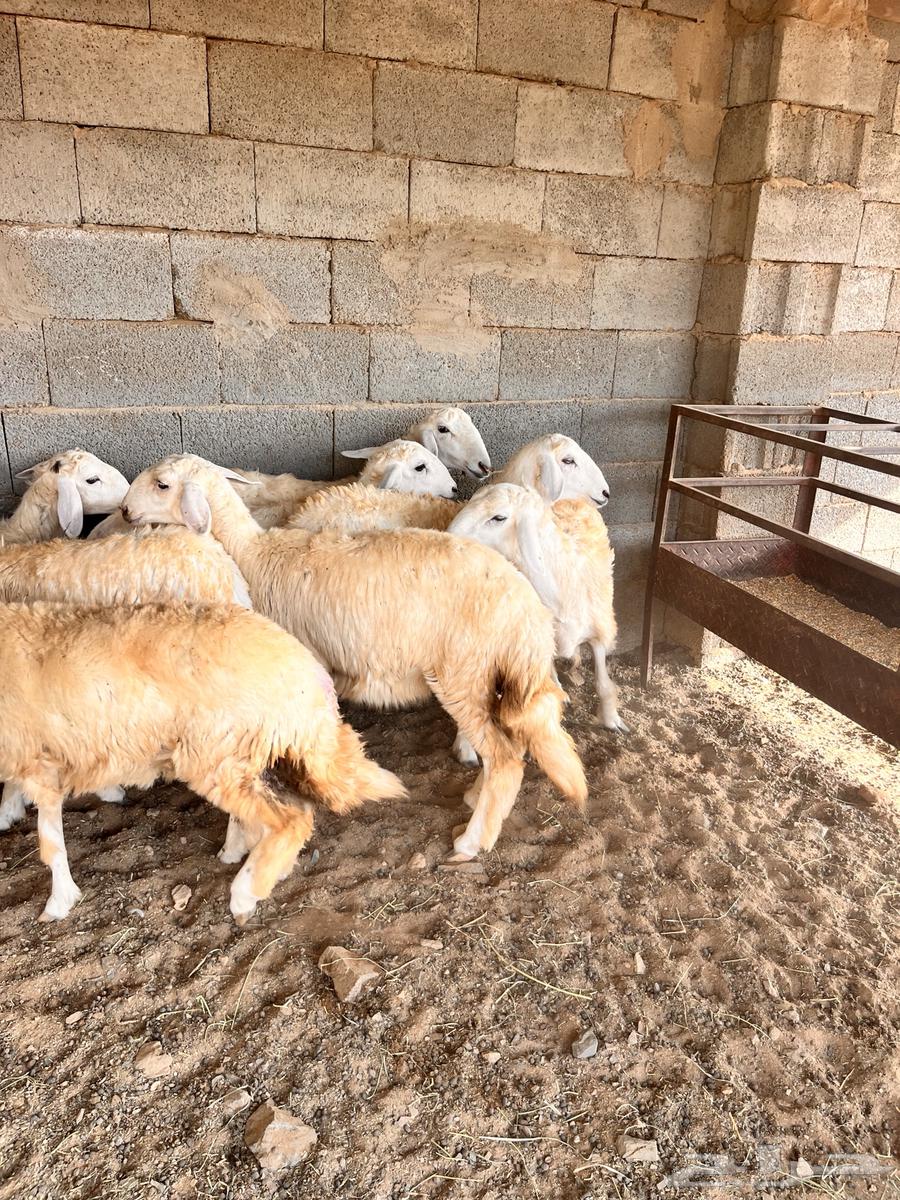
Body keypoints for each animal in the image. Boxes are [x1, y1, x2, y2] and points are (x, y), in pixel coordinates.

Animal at [0, 601, 405, 922]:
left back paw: (245, 893)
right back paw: (244, 856)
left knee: (291, 819)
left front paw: (58, 902)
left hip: (214, 751)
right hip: (236, 754)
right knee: (267, 814)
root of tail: (307, 675)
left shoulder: (37, 761)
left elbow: (50, 843)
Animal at [122, 455, 588, 862]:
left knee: (505, 758)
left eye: (162, 484)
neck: (255, 554)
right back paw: (476, 798)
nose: (125, 510)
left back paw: (471, 842)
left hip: (464, 671)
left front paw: (238, 843)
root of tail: (527, 609)